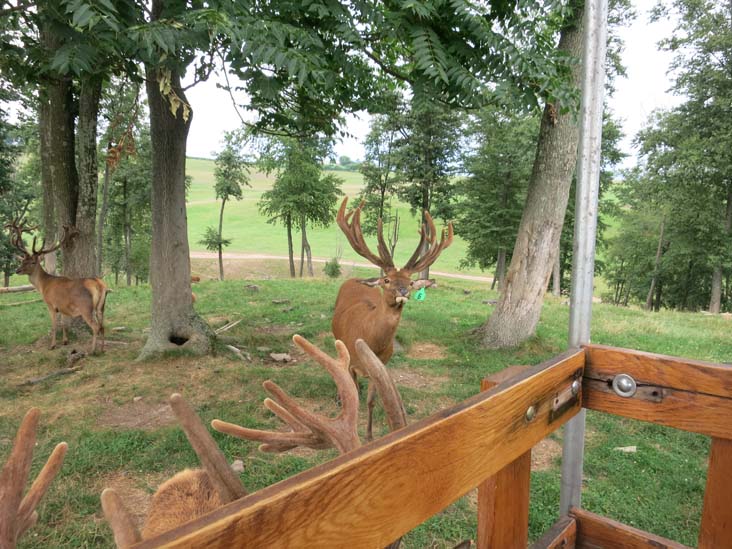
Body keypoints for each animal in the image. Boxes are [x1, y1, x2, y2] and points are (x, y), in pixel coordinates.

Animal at [6, 221, 110, 354]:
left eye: (33, 262)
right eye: (22, 260)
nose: (17, 270)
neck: (43, 285)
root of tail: (99, 284)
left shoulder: (50, 304)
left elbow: (54, 325)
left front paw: (52, 345)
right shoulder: (62, 306)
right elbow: (64, 323)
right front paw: (65, 341)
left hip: (85, 307)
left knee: (96, 327)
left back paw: (92, 350)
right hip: (101, 306)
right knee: (103, 326)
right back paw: (102, 349)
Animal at [333, 197, 453, 440]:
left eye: (410, 281)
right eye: (387, 280)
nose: (403, 291)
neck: (370, 339)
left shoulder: (381, 365)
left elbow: (371, 401)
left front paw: (369, 436)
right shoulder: (351, 361)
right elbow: (354, 394)